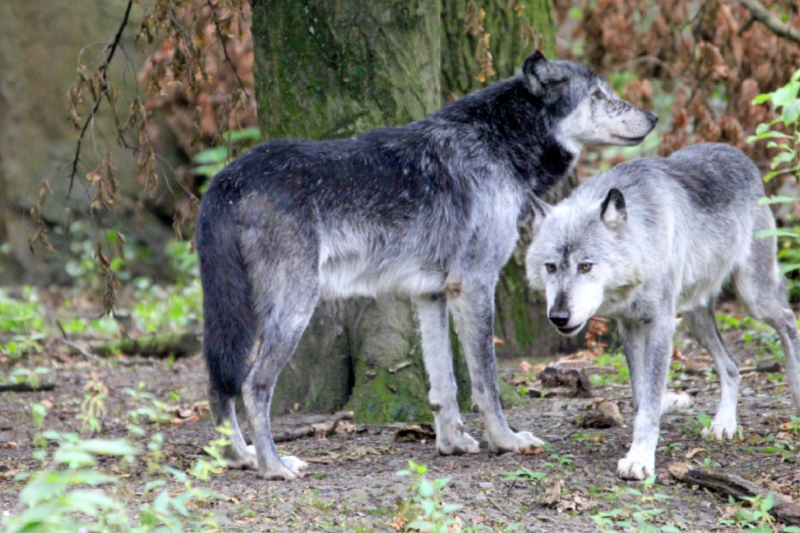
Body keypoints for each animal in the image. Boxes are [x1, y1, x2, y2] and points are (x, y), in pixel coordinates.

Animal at [195, 52, 656, 480]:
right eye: (598, 96)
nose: (652, 117)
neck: (497, 143)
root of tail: (228, 179)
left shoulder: (431, 294)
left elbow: (444, 384)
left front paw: (451, 443)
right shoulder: (474, 285)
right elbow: (486, 380)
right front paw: (505, 441)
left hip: (239, 313)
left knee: (219, 382)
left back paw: (240, 457)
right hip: (292, 310)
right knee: (253, 386)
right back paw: (273, 466)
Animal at [524, 143, 800, 480]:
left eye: (586, 266)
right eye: (550, 267)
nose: (559, 317)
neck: (644, 241)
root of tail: (737, 154)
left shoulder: (661, 325)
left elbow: (649, 400)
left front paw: (639, 459)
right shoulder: (629, 325)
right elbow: (641, 396)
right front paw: (673, 402)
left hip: (752, 297)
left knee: (788, 320)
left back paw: (795, 390)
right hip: (696, 321)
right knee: (733, 366)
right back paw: (724, 424)